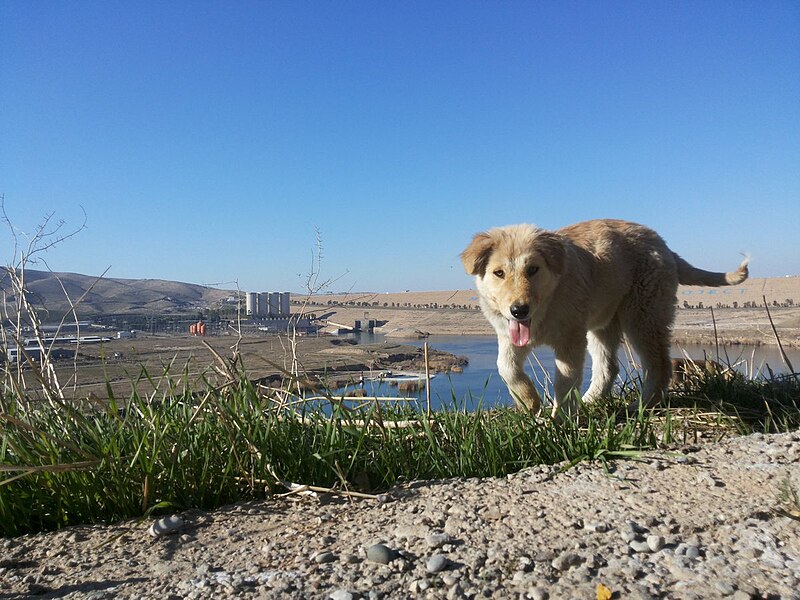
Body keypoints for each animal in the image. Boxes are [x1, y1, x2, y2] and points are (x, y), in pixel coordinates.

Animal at [462, 218, 752, 420]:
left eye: (533, 269)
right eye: (499, 273)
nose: (519, 310)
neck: (547, 304)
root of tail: (664, 246)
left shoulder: (570, 339)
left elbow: (565, 380)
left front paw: (561, 419)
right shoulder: (508, 336)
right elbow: (506, 368)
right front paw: (529, 402)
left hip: (643, 316)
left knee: (659, 365)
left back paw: (640, 406)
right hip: (603, 324)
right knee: (608, 367)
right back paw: (590, 401)